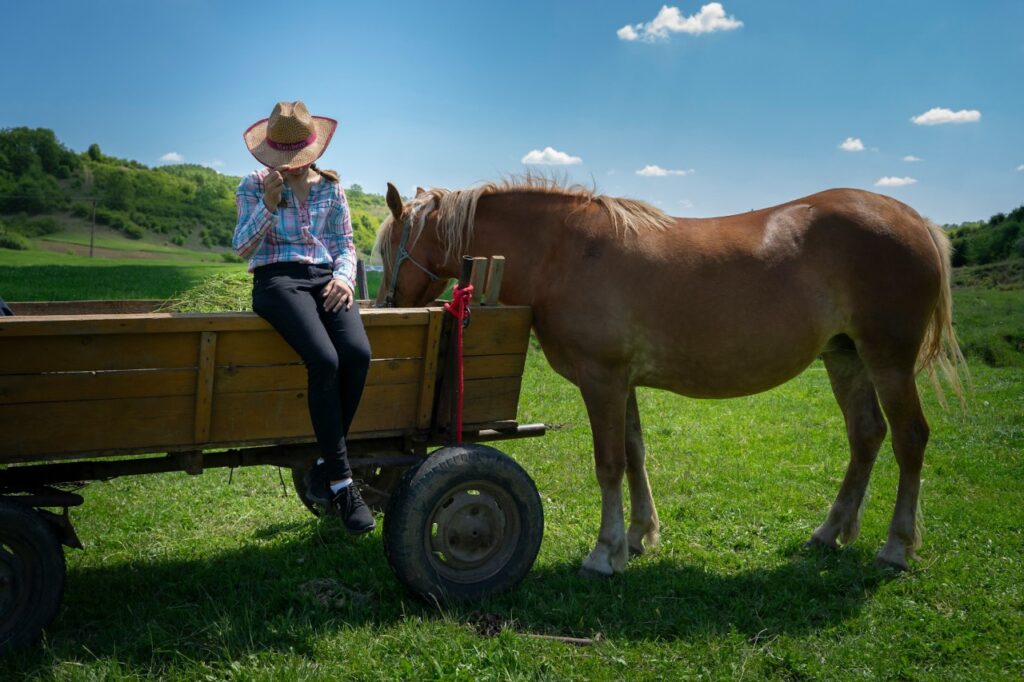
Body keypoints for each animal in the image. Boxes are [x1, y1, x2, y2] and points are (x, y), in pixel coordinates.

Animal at [373, 176, 966, 576]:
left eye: (386, 246)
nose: (387, 305)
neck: (565, 251)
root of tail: (915, 219)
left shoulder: (602, 380)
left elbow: (609, 464)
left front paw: (604, 552)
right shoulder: (624, 383)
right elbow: (635, 455)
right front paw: (638, 536)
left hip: (888, 360)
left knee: (910, 439)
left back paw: (897, 546)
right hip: (845, 358)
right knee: (866, 436)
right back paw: (830, 531)